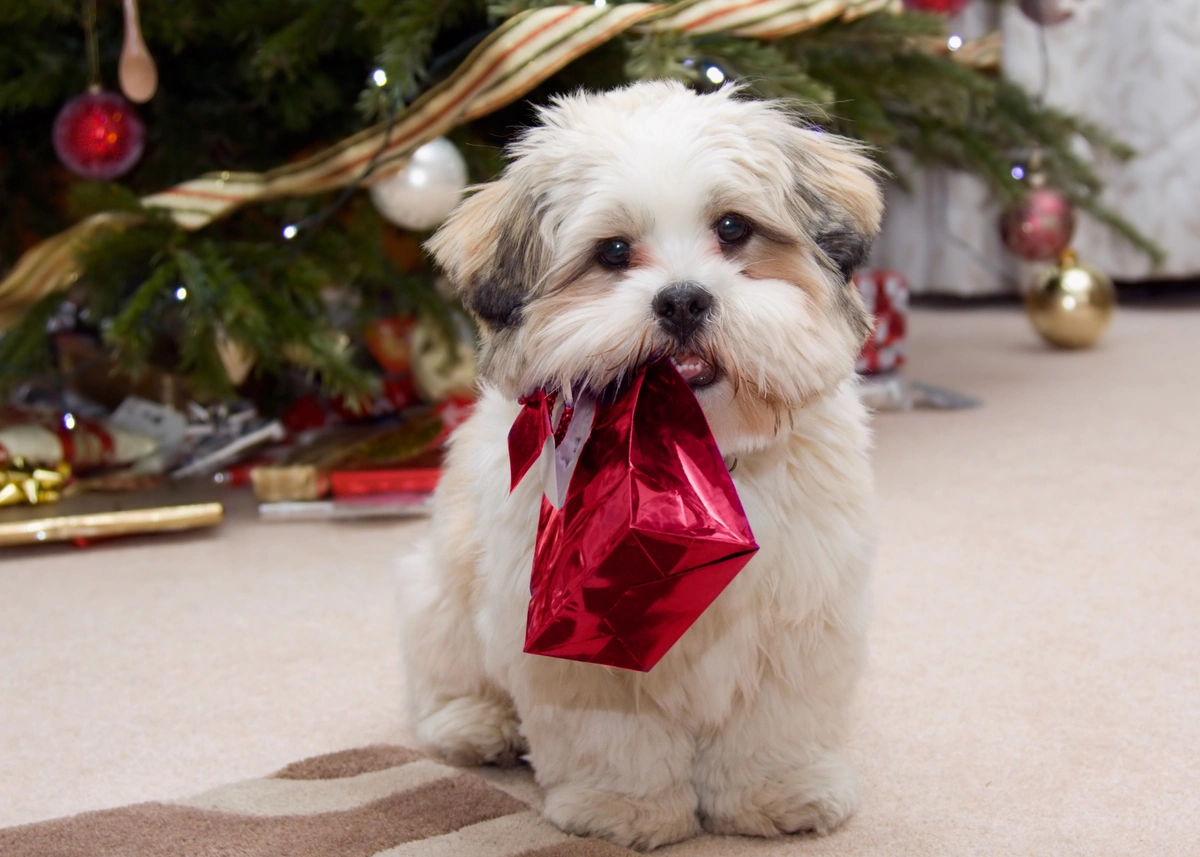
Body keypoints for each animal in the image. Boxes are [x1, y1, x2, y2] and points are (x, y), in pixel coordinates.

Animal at [403, 80, 883, 849]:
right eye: (613, 251)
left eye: (733, 228)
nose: (682, 297)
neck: (692, 461)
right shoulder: (575, 635)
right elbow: (613, 736)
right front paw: (623, 807)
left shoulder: (799, 618)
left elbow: (774, 726)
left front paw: (775, 792)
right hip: (439, 590)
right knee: (443, 675)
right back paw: (476, 723)